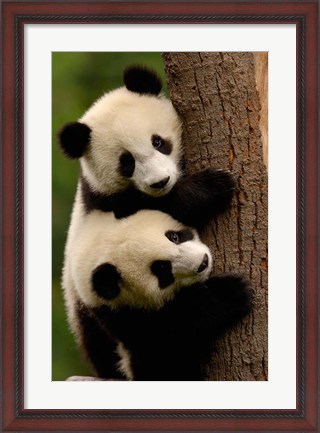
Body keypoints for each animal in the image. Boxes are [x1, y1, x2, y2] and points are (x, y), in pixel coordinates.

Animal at [58, 64, 235, 228]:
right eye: (127, 163)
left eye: (158, 142)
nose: (161, 182)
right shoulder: (109, 201)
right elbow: (158, 205)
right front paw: (213, 185)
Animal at [67, 210, 252, 382]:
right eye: (162, 268)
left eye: (174, 236)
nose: (203, 263)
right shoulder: (124, 319)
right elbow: (166, 341)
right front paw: (231, 291)